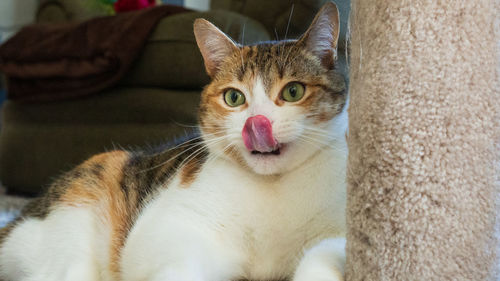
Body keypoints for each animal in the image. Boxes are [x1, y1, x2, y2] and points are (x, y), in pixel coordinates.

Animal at [0, 2, 348, 280]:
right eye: (234, 98)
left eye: (293, 91)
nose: (257, 123)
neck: (272, 188)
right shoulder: (172, 225)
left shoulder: (337, 234)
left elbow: (323, 257)